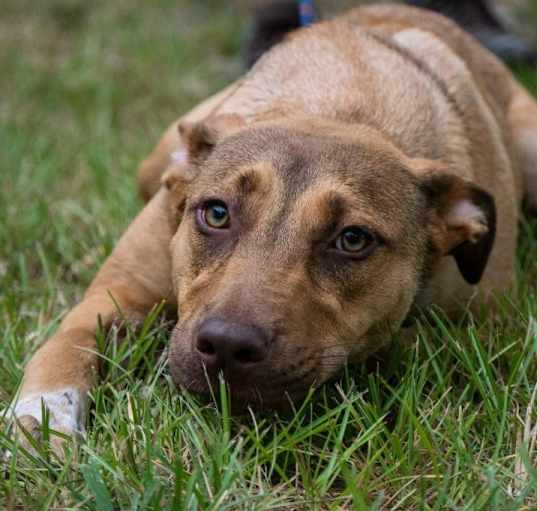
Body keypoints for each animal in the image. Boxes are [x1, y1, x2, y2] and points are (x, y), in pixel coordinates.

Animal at [11, 3, 536, 452]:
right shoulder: (119, 291)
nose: (226, 346)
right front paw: (41, 420)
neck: (337, 107)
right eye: (216, 213)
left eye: (353, 239)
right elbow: (66, 343)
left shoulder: (481, 321)